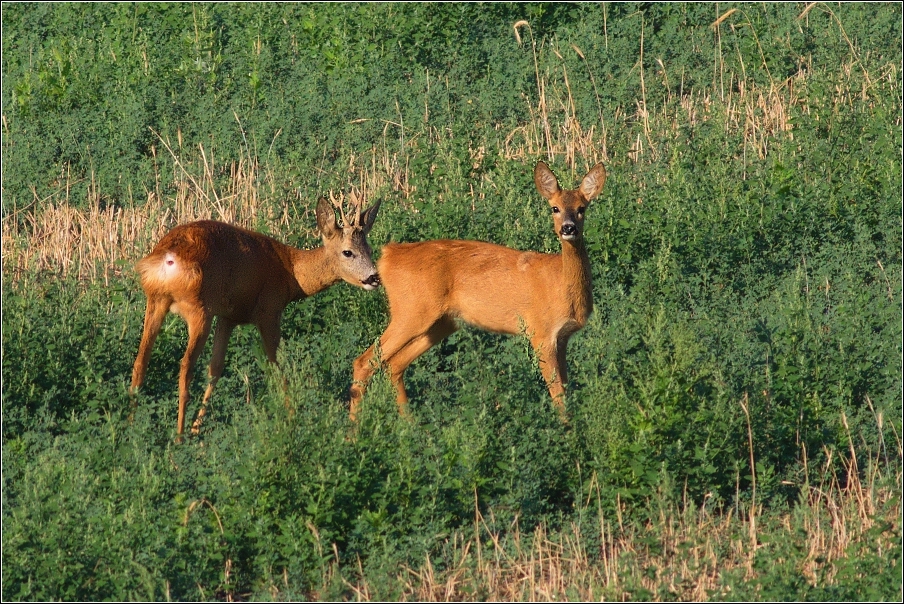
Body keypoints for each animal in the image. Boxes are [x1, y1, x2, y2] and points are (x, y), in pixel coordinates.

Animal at [131, 196, 382, 436]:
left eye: (369, 250)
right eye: (348, 252)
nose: (374, 278)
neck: (291, 272)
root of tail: (167, 258)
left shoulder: (228, 317)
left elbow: (215, 369)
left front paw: (198, 428)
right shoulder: (268, 310)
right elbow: (277, 365)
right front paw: (292, 418)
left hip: (156, 301)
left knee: (140, 361)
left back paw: (131, 421)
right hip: (199, 309)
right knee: (185, 367)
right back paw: (179, 437)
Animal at [350, 163, 604, 422]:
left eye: (582, 208)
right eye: (555, 208)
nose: (568, 228)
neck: (561, 284)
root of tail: (388, 256)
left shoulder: (562, 338)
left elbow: (566, 388)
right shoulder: (541, 332)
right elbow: (558, 392)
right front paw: (566, 429)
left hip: (441, 323)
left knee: (394, 364)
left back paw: (410, 425)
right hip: (410, 311)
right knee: (364, 361)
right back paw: (355, 428)